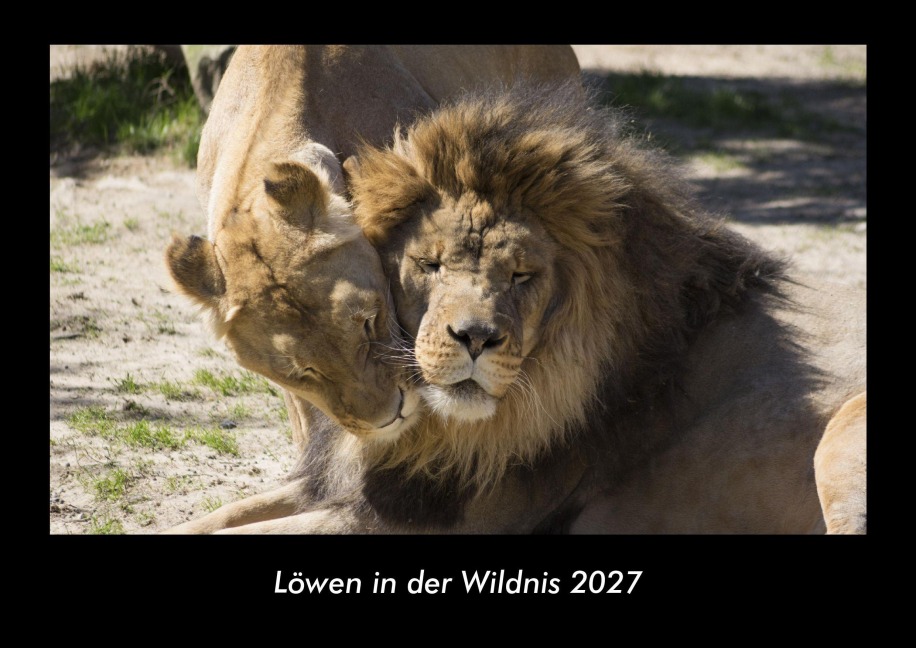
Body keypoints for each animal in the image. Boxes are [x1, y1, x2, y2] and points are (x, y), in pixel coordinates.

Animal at [199, 81, 865, 534]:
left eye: (522, 275)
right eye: (430, 265)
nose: (474, 337)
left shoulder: (427, 520)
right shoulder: (353, 487)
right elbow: (212, 518)